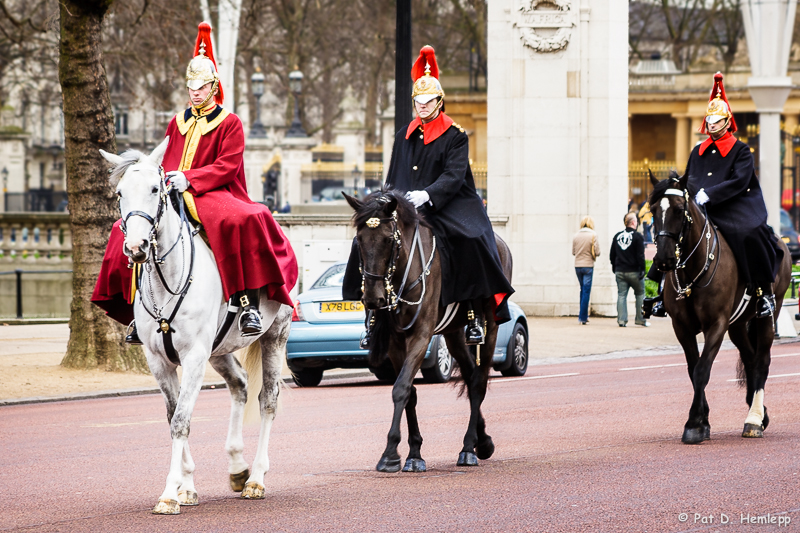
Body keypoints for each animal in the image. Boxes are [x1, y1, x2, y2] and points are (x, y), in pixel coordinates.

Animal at [99, 139, 292, 512]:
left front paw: (169, 492)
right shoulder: (159, 361)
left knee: (268, 400)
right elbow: (174, 416)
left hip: (274, 336)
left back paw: (257, 478)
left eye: (156, 188)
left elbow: (181, 420)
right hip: (218, 350)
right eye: (119, 193)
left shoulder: (193, 357)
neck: (166, 279)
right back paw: (238, 467)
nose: (136, 247)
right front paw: (185, 487)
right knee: (240, 385)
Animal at [344, 189, 512, 472]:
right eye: (359, 239)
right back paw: (483, 441)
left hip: (491, 327)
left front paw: (390, 453)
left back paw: (468, 449)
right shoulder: (396, 342)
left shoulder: (421, 335)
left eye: (388, 239)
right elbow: (409, 392)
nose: (373, 299)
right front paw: (413, 453)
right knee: (470, 377)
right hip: (453, 334)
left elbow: (401, 388)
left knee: (478, 382)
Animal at [648, 171, 792, 444]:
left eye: (679, 210)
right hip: (738, 324)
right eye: (653, 210)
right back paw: (760, 413)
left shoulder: (716, 324)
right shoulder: (681, 327)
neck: (693, 268)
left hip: (770, 313)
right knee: (749, 358)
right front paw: (702, 421)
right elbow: (693, 369)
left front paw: (694, 424)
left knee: (762, 360)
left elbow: (702, 370)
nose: (663, 259)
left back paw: (753, 419)